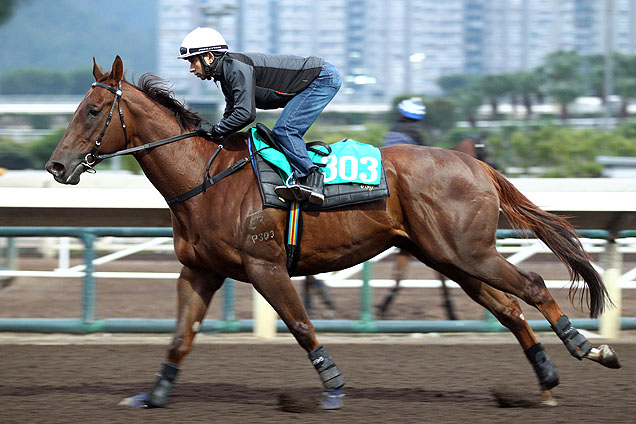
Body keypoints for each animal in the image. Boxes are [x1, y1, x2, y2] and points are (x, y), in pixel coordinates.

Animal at [46, 57, 620, 410]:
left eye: (92, 110)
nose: (56, 166)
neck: (204, 177)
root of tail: (477, 165)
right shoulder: (200, 270)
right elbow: (180, 337)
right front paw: (154, 396)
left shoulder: (264, 266)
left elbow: (301, 326)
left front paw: (333, 387)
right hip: (449, 257)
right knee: (509, 309)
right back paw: (546, 381)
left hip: (465, 252)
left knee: (533, 288)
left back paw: (590, 349)